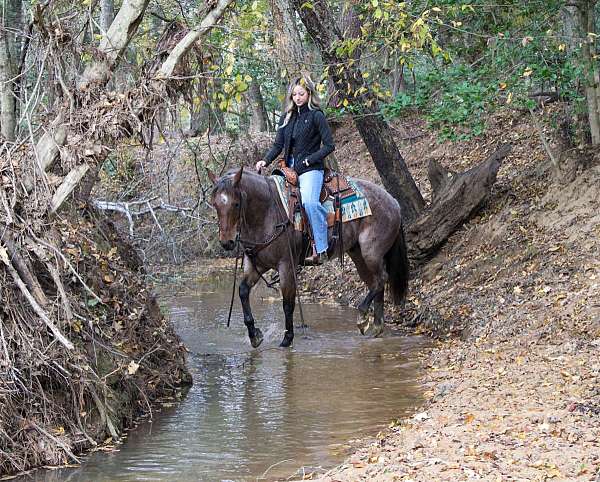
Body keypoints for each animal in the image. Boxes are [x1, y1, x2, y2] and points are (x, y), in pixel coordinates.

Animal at [206, 168, 408, 348]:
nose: (227, 242)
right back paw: (375, 327)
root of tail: (394, 202)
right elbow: (243, 291)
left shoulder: (286, 266)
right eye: (215, 204)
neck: (267, 213)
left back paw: (362, 316)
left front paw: (287, 339)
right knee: (375, 283)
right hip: (358, 254)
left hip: (371, 252)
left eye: (236, 204)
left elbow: (288, 303)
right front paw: (255, 335)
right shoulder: (256, 265)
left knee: (381, 279)